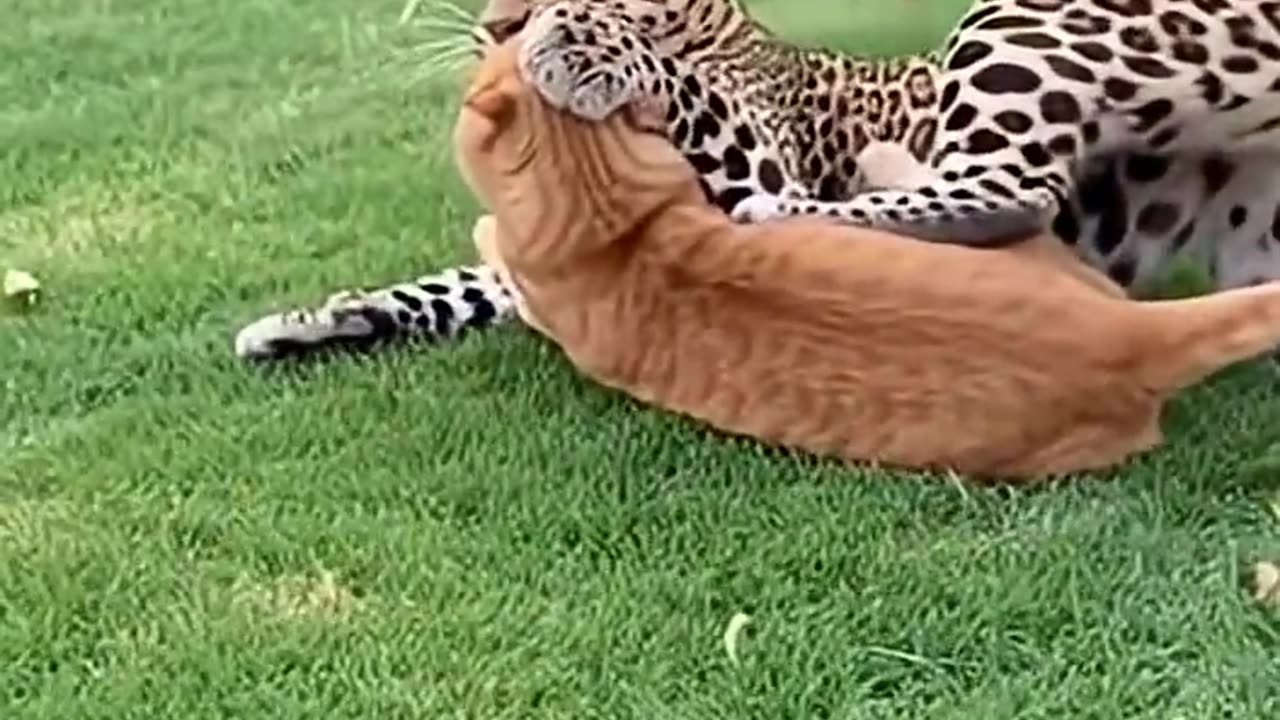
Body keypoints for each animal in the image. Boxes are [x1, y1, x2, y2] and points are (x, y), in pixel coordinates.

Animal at [235, 0, 1280, 361]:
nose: (496, 26)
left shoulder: (741, 152)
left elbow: (687, 97)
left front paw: (584, 45)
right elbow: (451, 285)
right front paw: (316, 321)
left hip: (1024, 23)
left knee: (1013, 189)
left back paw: (798, 218)